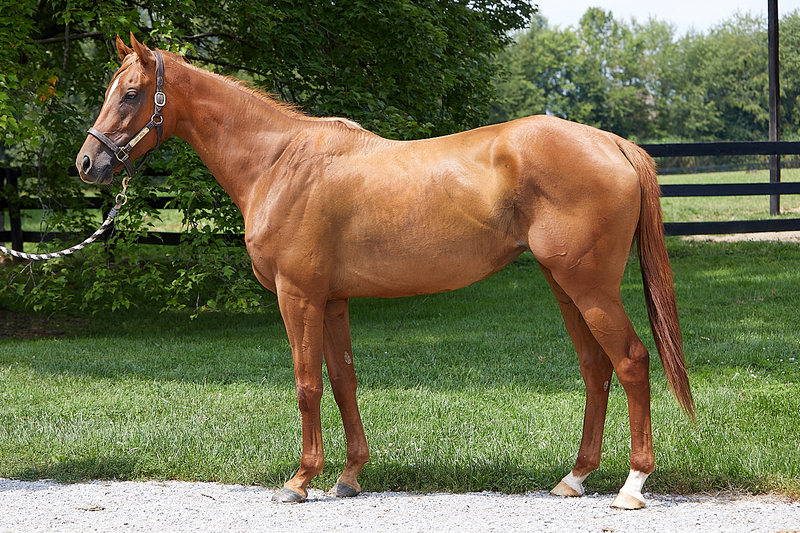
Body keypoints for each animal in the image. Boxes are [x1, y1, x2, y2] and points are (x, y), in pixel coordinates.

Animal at [76, 35, 692, 510]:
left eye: (130, 93)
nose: (88, 162)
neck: (279, 162)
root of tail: (611, 142)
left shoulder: (297, 297)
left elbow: (306, 384)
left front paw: (299, 481)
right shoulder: (332, 300)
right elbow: (343, 381)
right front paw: (348, 477)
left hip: (590, 288)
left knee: (631, 362)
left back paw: (633, 484)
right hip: (565, 287)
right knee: (596, 368)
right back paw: (575, 477)